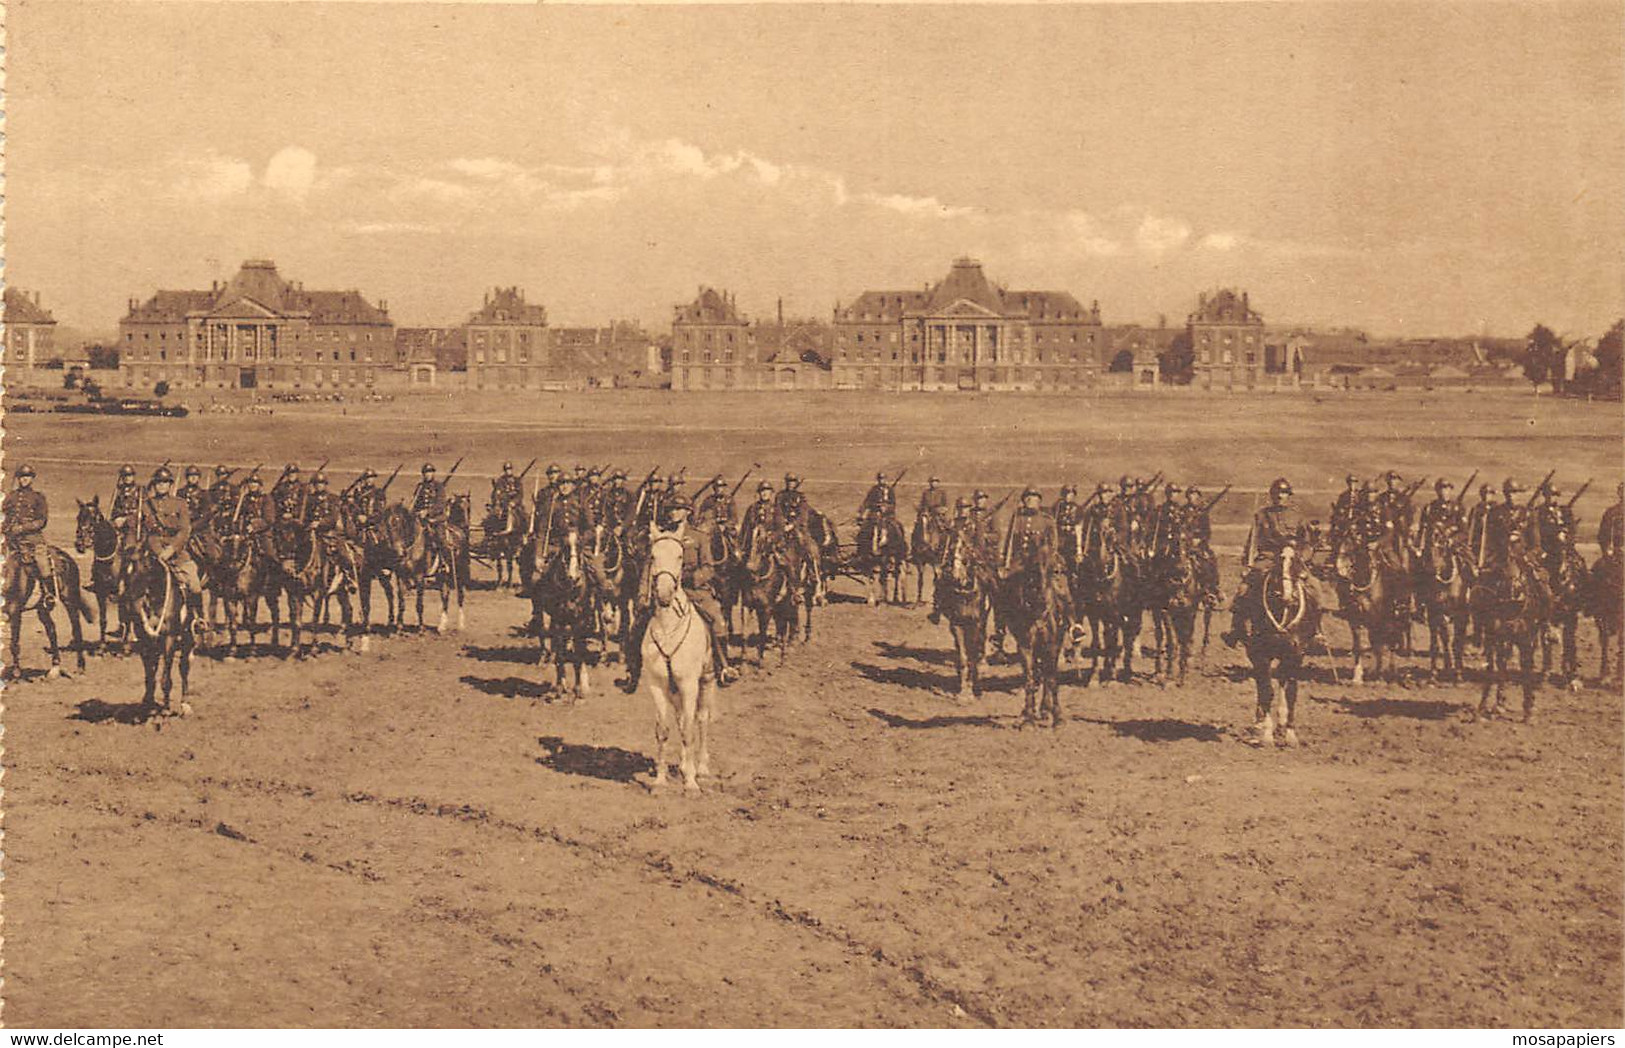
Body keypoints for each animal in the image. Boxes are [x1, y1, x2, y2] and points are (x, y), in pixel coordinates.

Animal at [643, 532, 715, 792]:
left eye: (680, 556)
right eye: (653, 555)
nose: (664, 594)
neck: (667, 627)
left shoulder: (690, 684)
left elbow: (689, 731)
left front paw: (691, 784)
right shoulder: (657, 685)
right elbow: (663, 730)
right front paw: (660, 781)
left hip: (706, 681)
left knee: (701, 720)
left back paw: (701, 768)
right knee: (681, 719)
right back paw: (685, 766)